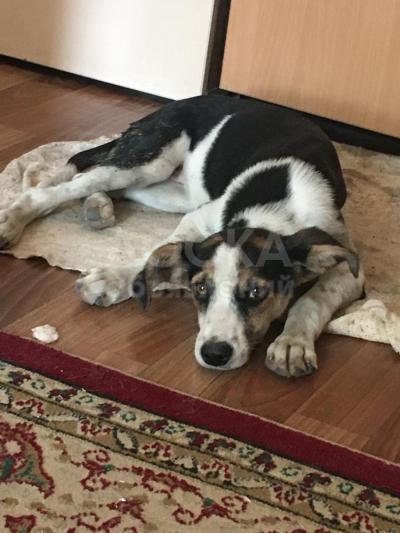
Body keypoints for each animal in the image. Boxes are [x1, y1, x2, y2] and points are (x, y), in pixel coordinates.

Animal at [0, 95, 364, 376]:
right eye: (199, 288)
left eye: (257, 292)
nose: (214, 354)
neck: (277, 212)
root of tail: (180, 102)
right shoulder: (199, 219)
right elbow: (159, 251)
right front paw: (112, 279)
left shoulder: (348, 264)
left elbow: (312, 299)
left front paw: (292, 343)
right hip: (149, 162)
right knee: (61, 187)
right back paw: (14, 220)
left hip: (173, 193)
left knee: (103, 186)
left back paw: (97, 206)